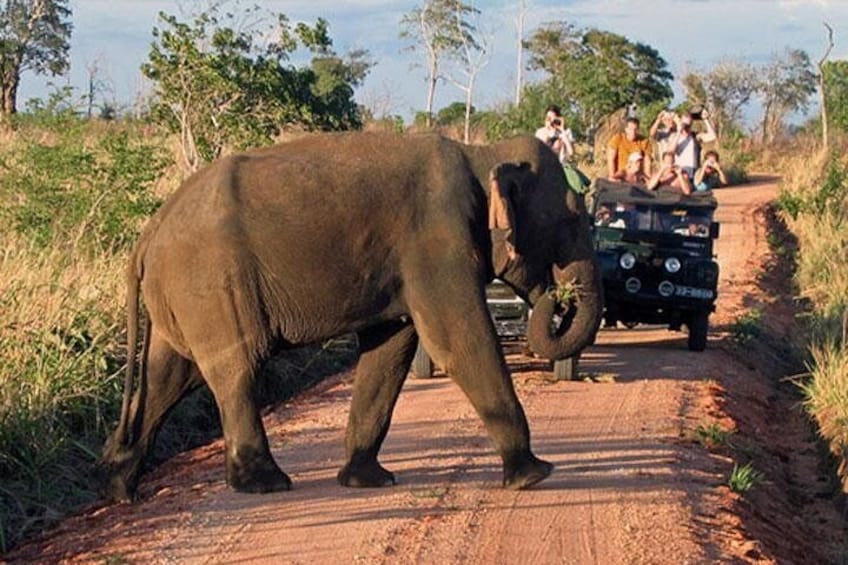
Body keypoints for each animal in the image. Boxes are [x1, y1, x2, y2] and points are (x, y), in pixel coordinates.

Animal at [101, 133, 604, 502]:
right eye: (570, 223)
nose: (558, 297)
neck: (483, 153)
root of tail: (148, 233)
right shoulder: (436, 239)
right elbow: (458, 340)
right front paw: (535, 475)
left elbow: (390, 350)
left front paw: (367, 480)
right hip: (212, 284)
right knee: (236, 367)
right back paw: (265, 484)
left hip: (181, 296)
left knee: (168, 378)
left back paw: (120, 486)